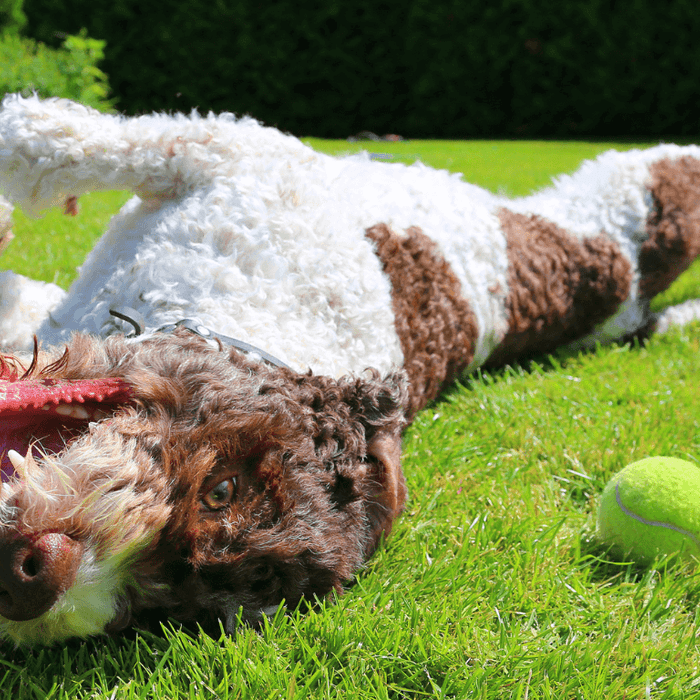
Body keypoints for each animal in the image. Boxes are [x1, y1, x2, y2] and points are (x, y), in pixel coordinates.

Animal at [0, 94, 700, 644]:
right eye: (224, 487)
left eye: (158, 606)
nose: (32, 580)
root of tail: (628, 292)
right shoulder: (227, 154)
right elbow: (43, 146)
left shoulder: (222, 152)